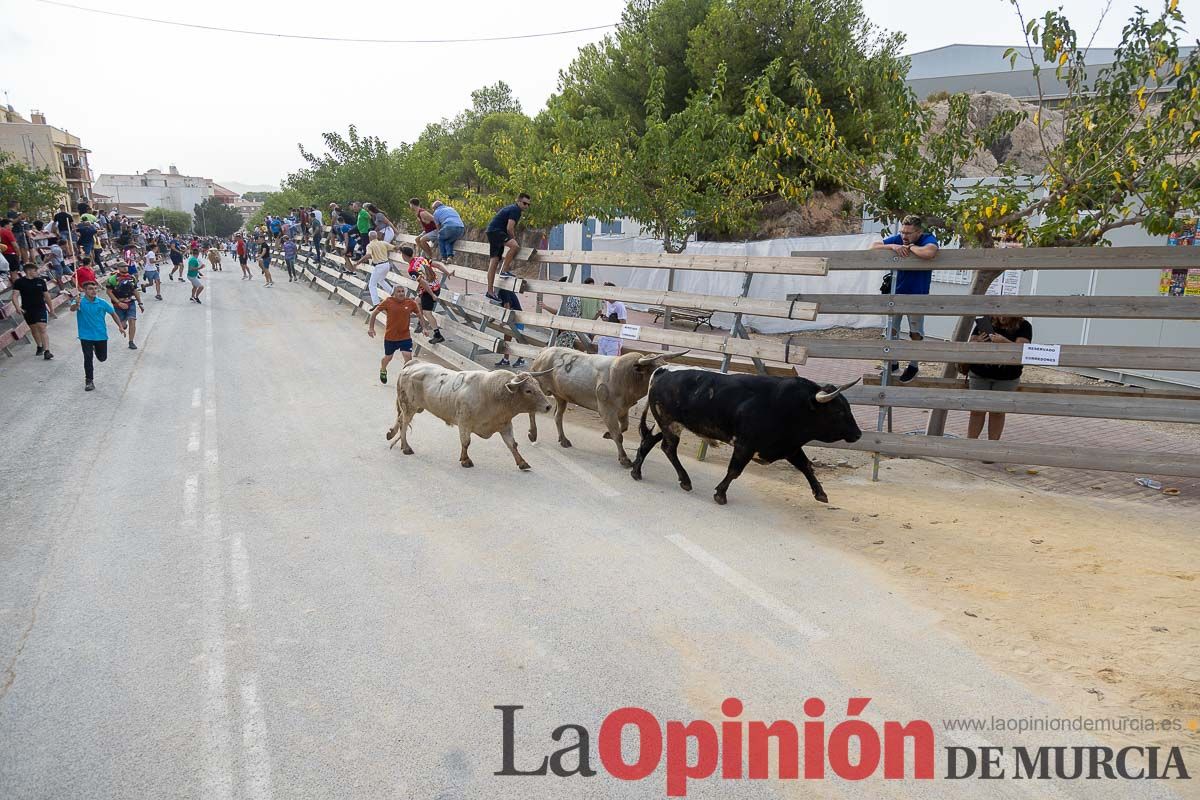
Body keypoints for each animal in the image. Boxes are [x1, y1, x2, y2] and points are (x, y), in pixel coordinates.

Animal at [388, 362, 552, 470]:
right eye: (528, 391)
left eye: (538, 386)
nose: (548, 406)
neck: (494, 394)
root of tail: (411, 365)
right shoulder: (464, 423)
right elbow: (466, 442)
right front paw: (465, 460)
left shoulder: (505, 425)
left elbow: (512, 444)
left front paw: (522, 462)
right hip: (409, 406)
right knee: (404, 423)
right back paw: (406, 447)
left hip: (413, 407)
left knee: (400, 420)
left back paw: (392, 435)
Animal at [530, 345, 691, 470]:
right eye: (655, 370)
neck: (628, 378)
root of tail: (544, 352)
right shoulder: (606, 411)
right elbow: (618, 436)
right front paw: (624, 459)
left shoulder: (623, 410)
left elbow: (623, 427)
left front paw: (607, 434)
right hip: (539, 389)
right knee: (531, 409)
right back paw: (533, 433)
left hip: (561, 397)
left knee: (558, 416)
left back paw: (563, 439)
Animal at [633, 371, 859, 506]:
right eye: (838, 411)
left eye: (848, 407)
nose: (858, 434)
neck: (791, 406)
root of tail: (664, 372)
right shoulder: (745, 445)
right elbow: (734, 470)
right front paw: (720, 494)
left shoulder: (790, 446)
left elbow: (806, 467)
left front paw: (820, 493)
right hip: (669, 423)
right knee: (669, 448)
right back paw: (685, 481)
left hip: (665, 424)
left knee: (649, 441)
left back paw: (636, 471)